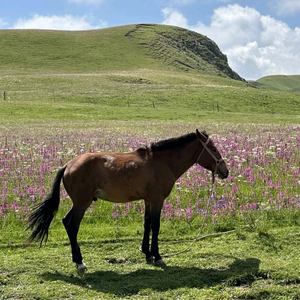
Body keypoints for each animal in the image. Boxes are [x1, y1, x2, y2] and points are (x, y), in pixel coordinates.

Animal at [27, 129, 227, 270]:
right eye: (213, 148)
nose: (225, 171)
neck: (161, 163)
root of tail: (68, 165)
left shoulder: (148, 200)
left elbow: (147, 224)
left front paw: (147, 253)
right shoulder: (157, 200)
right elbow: (156, 226)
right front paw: (157, 256)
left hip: (79, 203)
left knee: (65, 221)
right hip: (82, 203)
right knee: (72, 226)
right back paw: (80, 262)